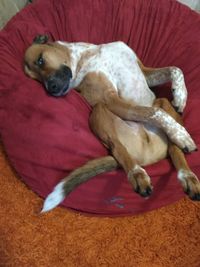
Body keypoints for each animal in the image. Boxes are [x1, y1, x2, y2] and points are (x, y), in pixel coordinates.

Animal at [23, 35, 200, 214]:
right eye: (36, 80)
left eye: (40, 60)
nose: (50, 89)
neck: (87, 54)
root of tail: (145, 155)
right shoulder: (110, 99)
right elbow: (152, 112)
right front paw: (180, 131)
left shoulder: (145, 72)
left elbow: (175, 69)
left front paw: (180, 95)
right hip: (99, 111)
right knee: (118, 148)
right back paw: (137, 173)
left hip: (163, 103)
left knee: (174, 148)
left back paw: (187, 172)